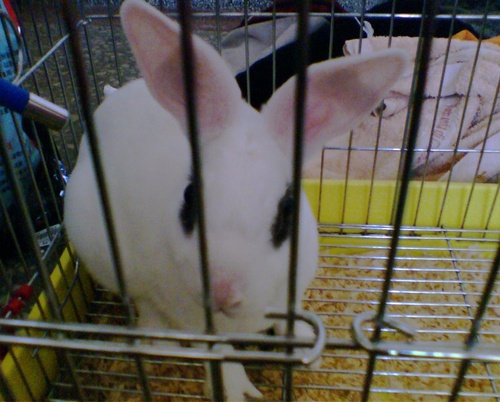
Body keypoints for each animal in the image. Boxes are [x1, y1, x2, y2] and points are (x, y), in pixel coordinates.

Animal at [64, 0, 408, 399]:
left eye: (287, 210)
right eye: (189, 197)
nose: (222, 289)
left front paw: (306, 347)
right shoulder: (196, 321)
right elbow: (218, 351)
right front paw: (235, 390)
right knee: (142, 300)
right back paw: (157, 341)